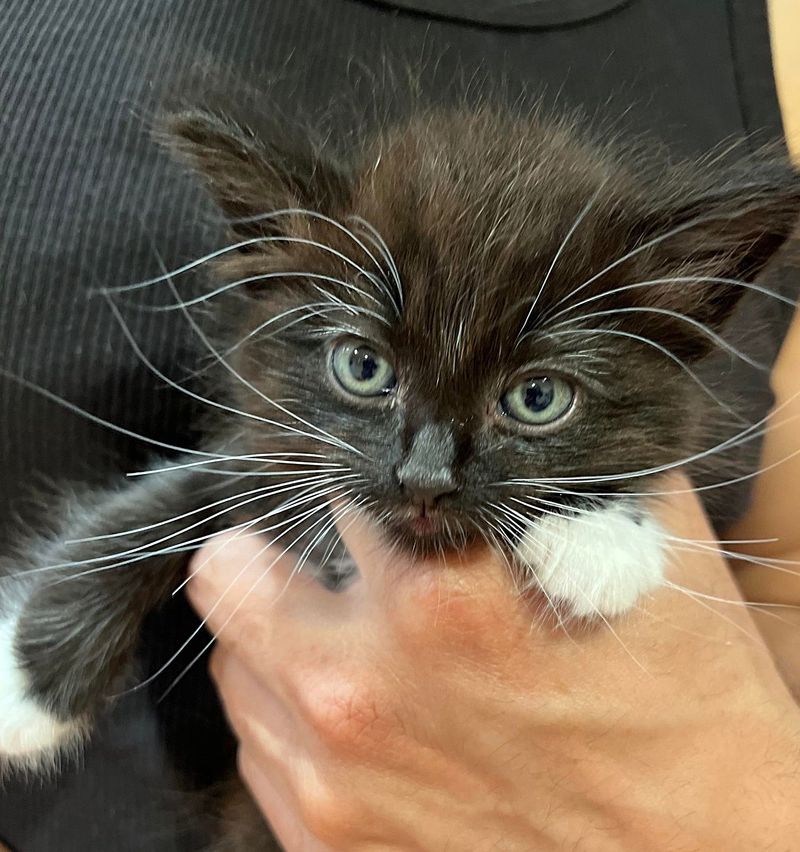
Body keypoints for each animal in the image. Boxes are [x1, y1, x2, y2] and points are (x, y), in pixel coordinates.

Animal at [1, 100, 800, 844]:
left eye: (537, 398)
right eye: (363, 366)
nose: (423, 477)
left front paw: (601, 542)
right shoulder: (270, 454)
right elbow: (153, 506)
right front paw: (25, 690)